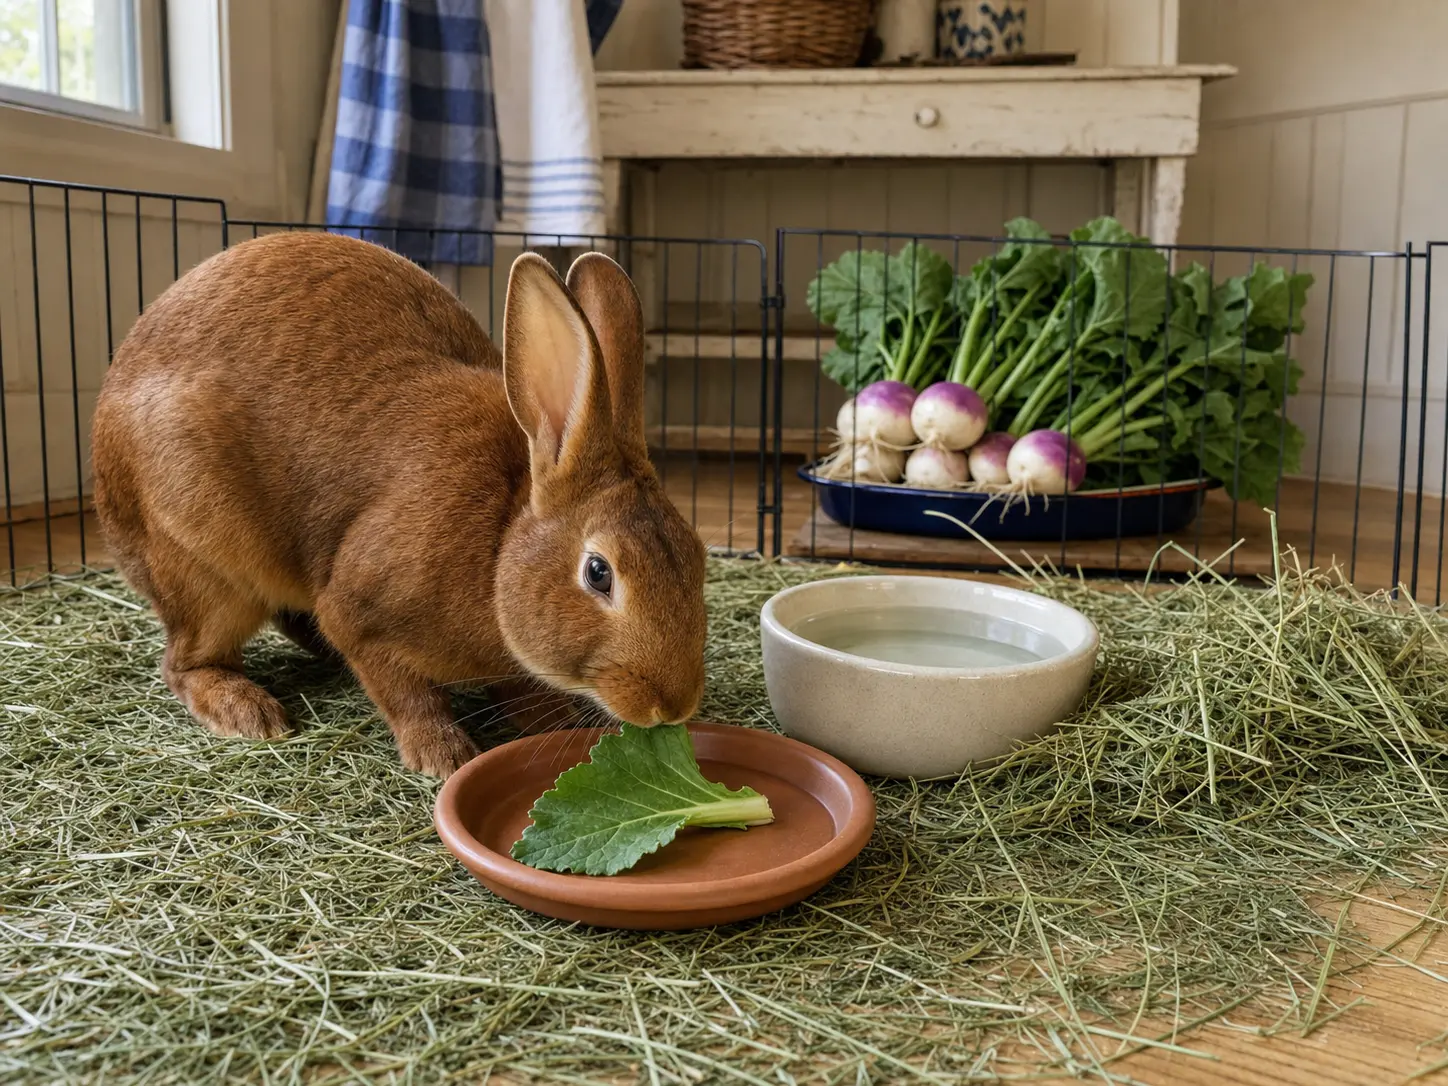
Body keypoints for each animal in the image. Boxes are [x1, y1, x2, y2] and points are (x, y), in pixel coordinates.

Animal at [91, 231, 708, 778]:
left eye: (698, 557)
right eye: (599, 572)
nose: (673, 706)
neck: (499, 544)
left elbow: (517, 688)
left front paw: (560, 723)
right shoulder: (361, 612)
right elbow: (402, 688)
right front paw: (443, 754)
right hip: (203, 567)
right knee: (187, 661)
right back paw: (249, 712)